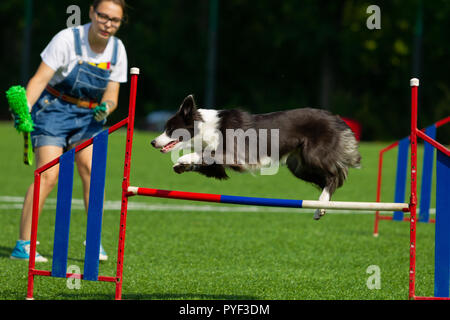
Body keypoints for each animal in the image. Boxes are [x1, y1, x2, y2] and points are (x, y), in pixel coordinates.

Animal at [152, 94, 362, 220]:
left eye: (170, 129)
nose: (152, 142)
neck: (205, 127)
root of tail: (337, 118)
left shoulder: (237, 156)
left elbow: (207, 153)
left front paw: (183, 159)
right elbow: (206, 161)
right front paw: (182, 166)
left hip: (313, 156)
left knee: (335, 176)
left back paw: (321, 203)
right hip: (298, 167)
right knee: (330, 179)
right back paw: (321, 206)